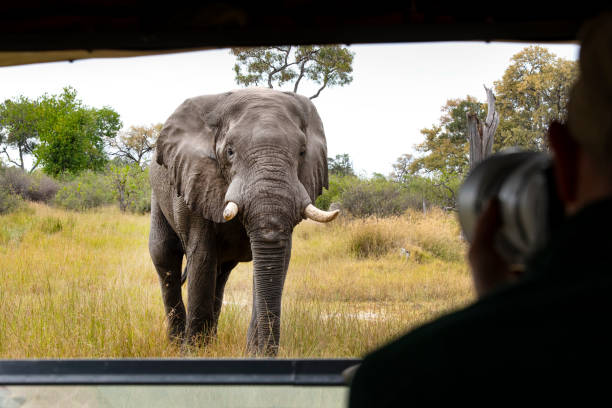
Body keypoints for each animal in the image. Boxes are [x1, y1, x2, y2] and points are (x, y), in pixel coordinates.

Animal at [149, 87, 340, 356]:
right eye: (230, 151)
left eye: (302, 152)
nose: (268, 355)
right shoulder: (195, 179)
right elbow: (202, 257)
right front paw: (194, 353)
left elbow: (277, 261)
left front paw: (253, 354)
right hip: (158, 195)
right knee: (165, 256)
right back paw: (177, 344)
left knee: (221, 273)